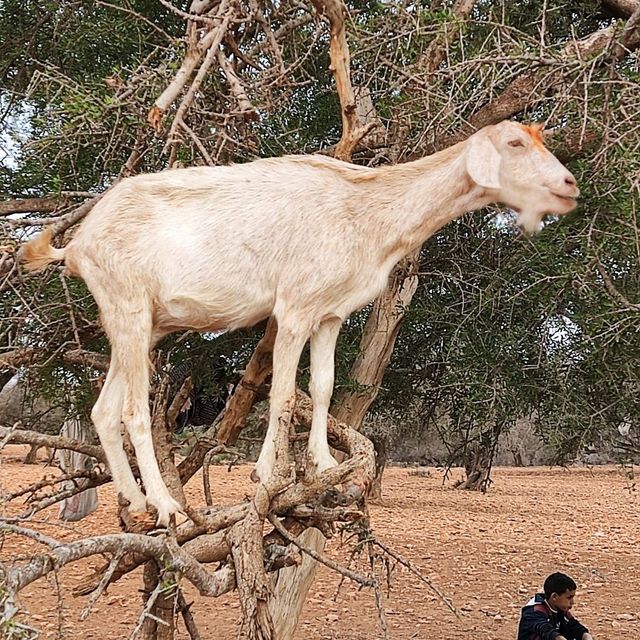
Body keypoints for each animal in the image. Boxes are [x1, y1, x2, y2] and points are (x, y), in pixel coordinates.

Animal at [21, 121, 580, 524]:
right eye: (514, 142)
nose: (569, 185)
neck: (366, 210)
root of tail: (77, 246)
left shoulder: (329, 313)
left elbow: (325, 385)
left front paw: (324, 465)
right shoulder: (293, 308)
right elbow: (285, 394)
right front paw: (270, 477)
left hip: (138, 325)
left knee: (102, 411)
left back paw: (134, 502)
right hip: (129, 307)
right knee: (135, 411)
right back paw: (164, 505)